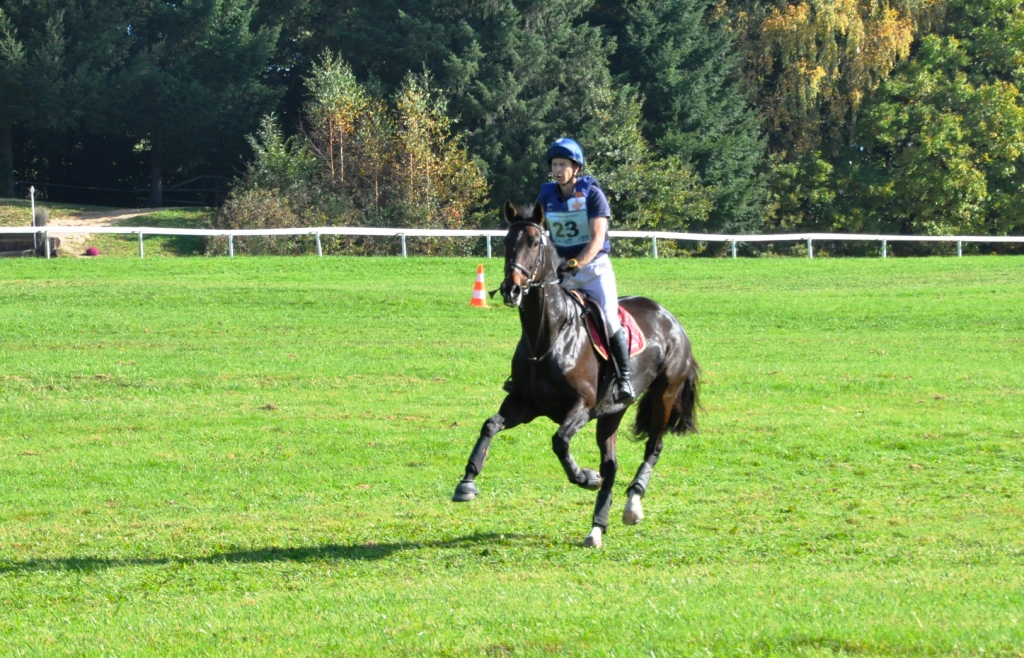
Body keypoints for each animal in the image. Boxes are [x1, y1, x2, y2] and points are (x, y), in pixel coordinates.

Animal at [452, 203, 700, 548]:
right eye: (505, 241)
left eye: (535, 243)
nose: (511, 289)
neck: (547, 336)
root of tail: (670, 318)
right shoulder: (525, 404)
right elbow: (489, 425)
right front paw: (467, 483)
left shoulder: (582, 406)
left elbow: (559, 441)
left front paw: (585, 477)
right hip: (612, 412)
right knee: (611, 464)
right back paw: (597, 528)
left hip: (665, 394)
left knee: (654, 447)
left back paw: (633, 505)